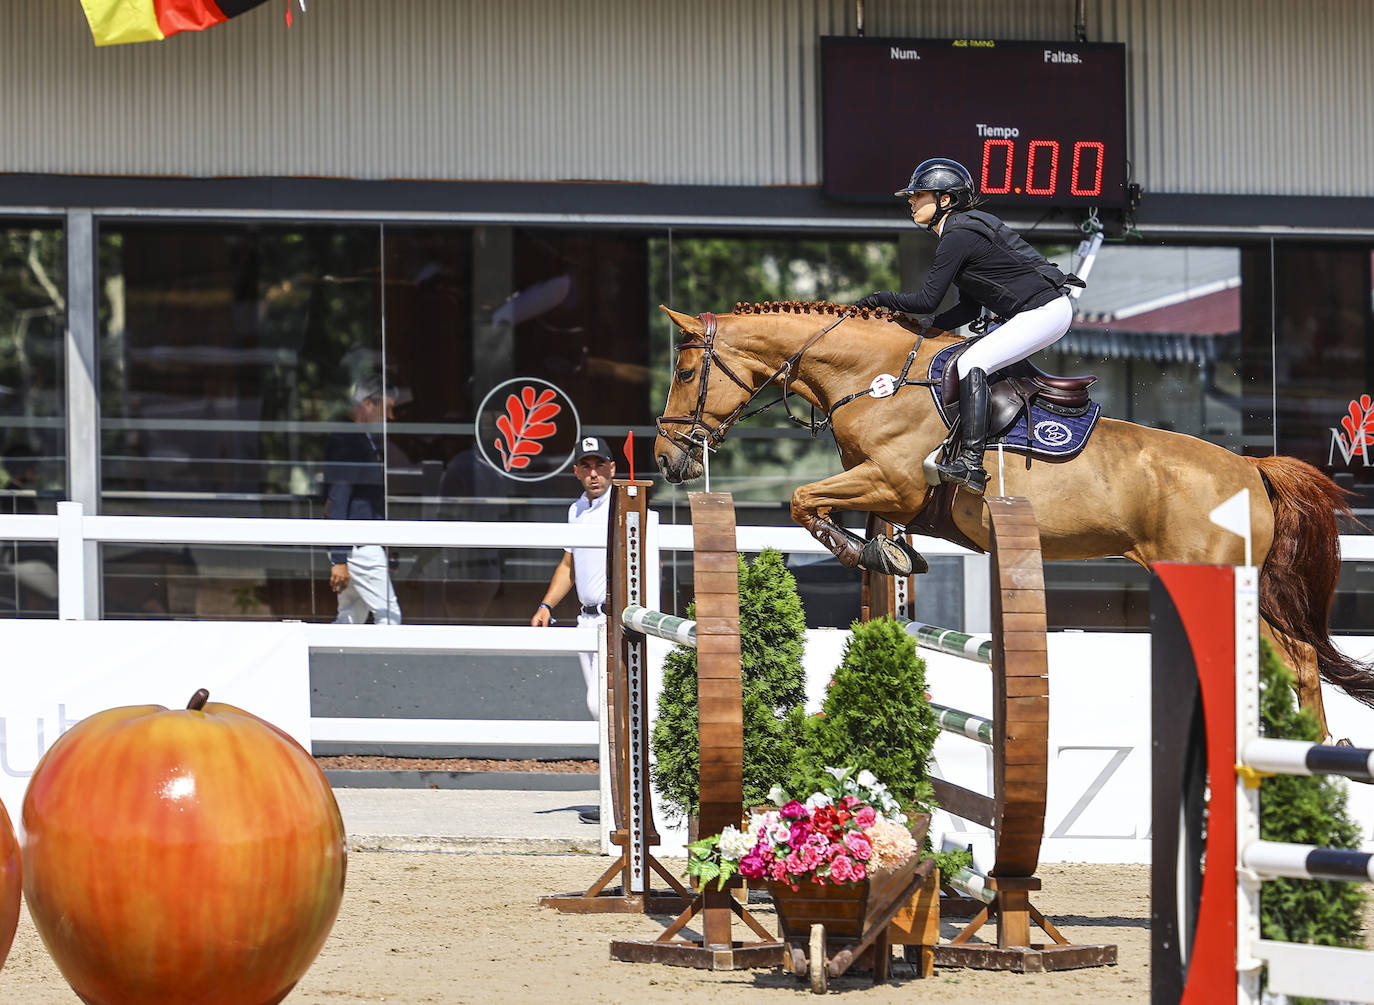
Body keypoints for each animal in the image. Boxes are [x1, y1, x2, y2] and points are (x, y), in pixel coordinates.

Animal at [656, 301, 1374, 736]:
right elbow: (835, 511)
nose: (666, 458)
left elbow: (806, 499)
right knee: (1298, 658)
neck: (877, 378)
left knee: (1293, 658)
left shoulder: (892, 482)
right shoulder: (883, 490)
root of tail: (1253, 470)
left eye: (685, 371)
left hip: (1217, 577)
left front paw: (870, 553)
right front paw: (891, 554)